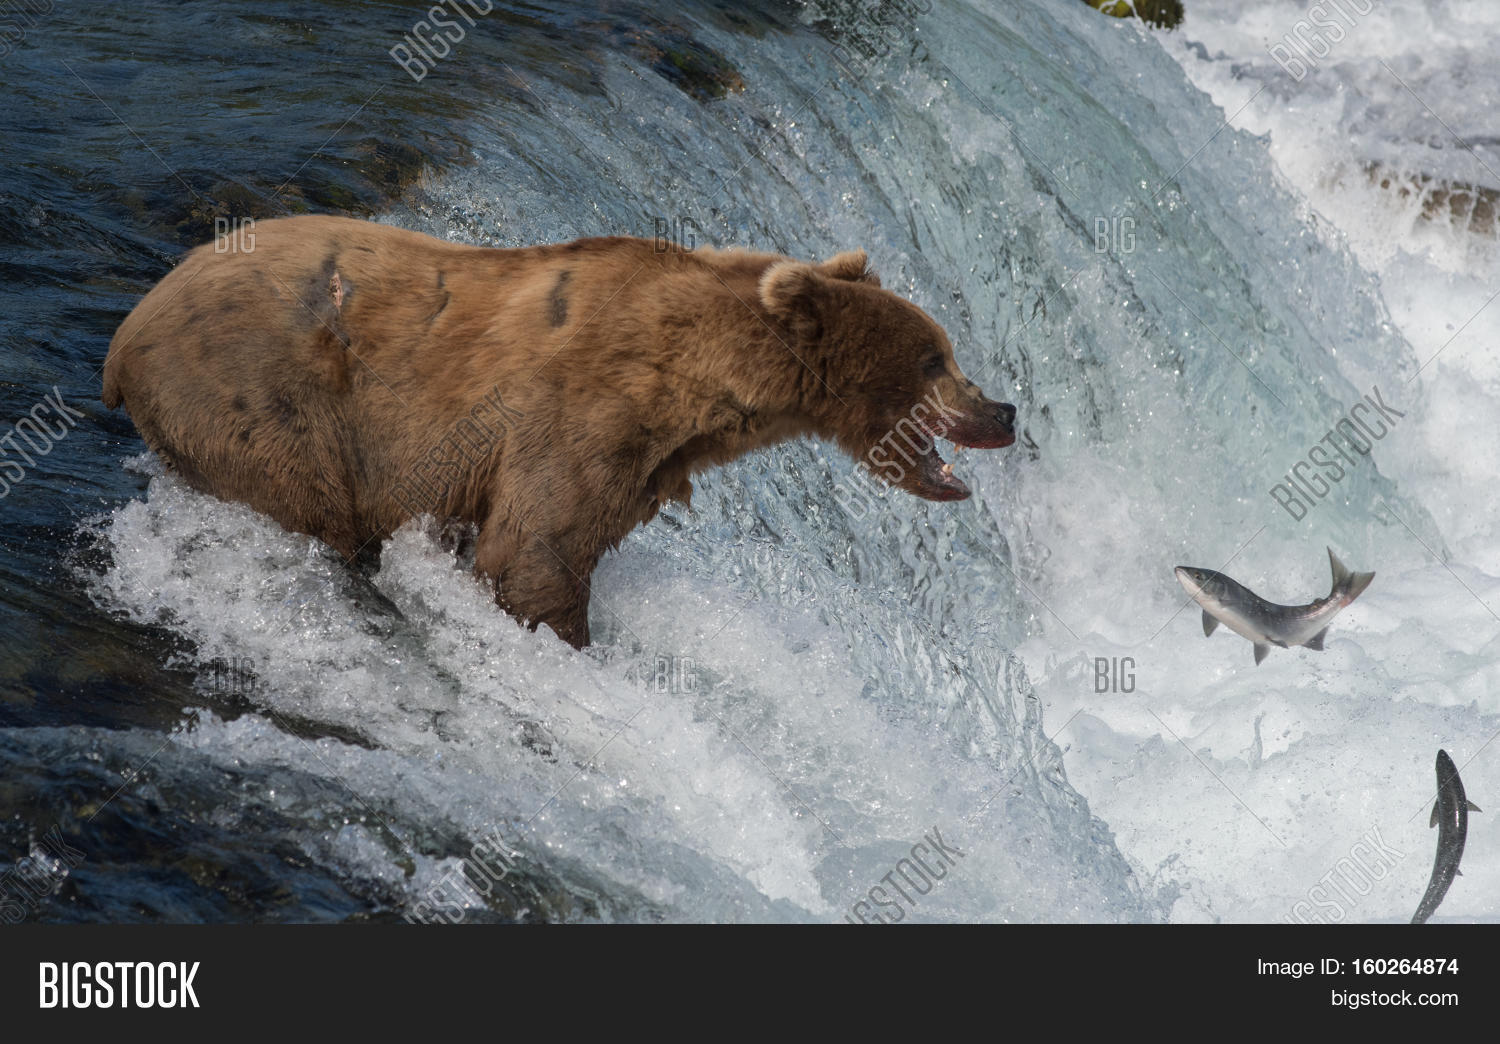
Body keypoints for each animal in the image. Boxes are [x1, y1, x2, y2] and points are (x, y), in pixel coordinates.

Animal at [102, 215, 1016, 648]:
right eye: (936, 357)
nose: (1004, 410)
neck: (703, 382)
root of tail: (122, 338)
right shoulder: (580, 413)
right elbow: (537, 552)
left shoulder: (649, 457)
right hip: (263, 399)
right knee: (314, 509)